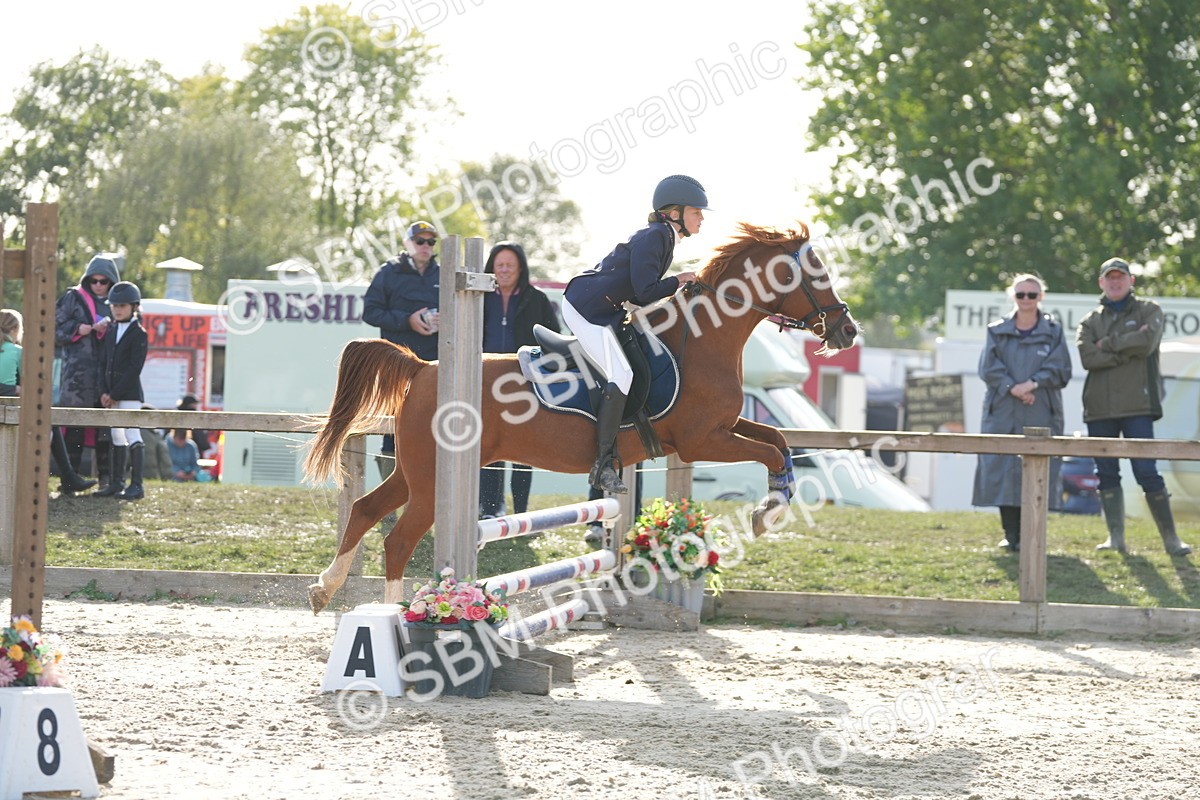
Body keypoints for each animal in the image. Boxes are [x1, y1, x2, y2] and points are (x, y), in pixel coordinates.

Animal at [302, 222, 859, 613]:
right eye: (816, 273)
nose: (847, 330)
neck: (703, 339)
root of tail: (422, 367)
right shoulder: (701, 440)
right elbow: (768, 450)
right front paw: (769, 512)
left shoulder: (719, 429)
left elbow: (778, 440)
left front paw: (775, 500)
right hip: (433, 478)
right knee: (397, 539)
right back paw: (396, 616)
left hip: (415, 470)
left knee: (366, 510)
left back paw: (325, 589)